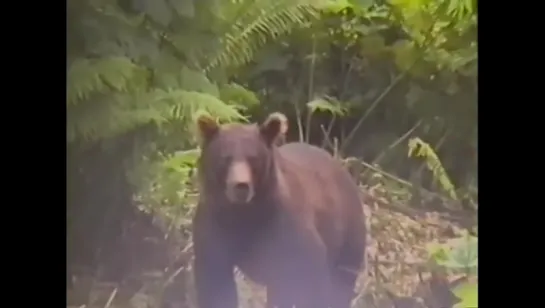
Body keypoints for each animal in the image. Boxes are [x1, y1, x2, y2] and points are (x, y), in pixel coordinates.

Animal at [191, 112, 366, 308]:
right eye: (225, 158)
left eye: (253, 158)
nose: (241, 186)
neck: (244, 214)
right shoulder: (214, 226)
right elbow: (215, 283)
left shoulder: (285, 228)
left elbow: (312, 274)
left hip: (348, 232)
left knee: (342, 279)